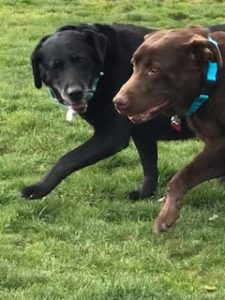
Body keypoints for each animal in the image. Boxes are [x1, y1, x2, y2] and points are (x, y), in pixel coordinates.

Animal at [21, 24, 223, 202]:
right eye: (55, 66)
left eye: (81, 60)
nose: (75, 92)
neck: (105, 65)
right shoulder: (142, 133)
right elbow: (149, 166)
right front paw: (144, 194)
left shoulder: (111, 136)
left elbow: (67, 160)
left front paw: (38, 189)